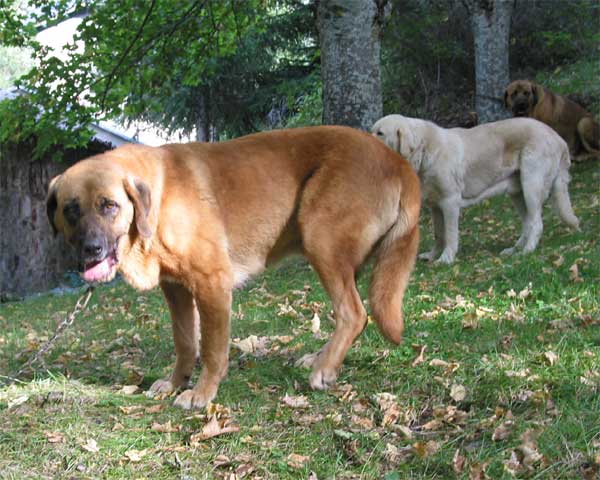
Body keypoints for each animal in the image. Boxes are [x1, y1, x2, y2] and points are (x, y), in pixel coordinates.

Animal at [47, 126, 420, 408]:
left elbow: (213, 349)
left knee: (353, 314)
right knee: (348, 314)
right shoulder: (176, 289)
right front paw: (176, 382)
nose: (90, 251)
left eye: (109, 205)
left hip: (321, 241)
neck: (160, 199)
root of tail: (397, 160)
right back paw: (321, 359)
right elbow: (185, 342)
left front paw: (201, 393)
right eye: (70, 209)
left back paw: (323, 369)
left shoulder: (212, 283)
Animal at [372, 113, 580, 262]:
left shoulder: (450, 202)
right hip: (517, 192)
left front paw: (446, 259)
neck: (424, 152)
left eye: (380, 133)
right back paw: (513, 249)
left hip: (531, 185)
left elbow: (450, 235)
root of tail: (558, 138)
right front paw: (432, 256)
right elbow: (439, 234)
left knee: (536, 223)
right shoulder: (435, 206)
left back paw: (527, 251)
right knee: (528, 222)